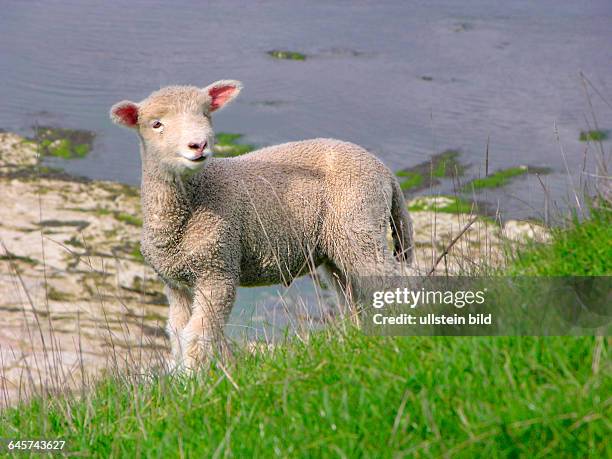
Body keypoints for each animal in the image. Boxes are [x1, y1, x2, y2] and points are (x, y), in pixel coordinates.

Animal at [110, 81, 416, 372]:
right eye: (156, 124)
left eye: (206, 114)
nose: (198, 145)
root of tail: (383, 169)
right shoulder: (175, 284)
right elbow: (177, 332)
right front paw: (202, 376)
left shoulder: (218, 269)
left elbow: (198, 335)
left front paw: (195, 380)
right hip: (338, 244)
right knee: (355, 296)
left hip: (358, 223)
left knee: (394, 282)